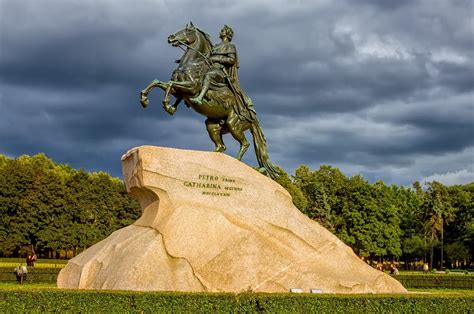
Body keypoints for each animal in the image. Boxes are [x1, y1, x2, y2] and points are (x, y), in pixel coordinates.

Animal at [138, 22, 278, 179]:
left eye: (188, 30)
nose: (171, 37)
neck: (191, 64)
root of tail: (253, 116)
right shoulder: (179, 90)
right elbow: (157, 82)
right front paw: (144, 100)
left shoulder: (191, 88)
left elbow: (169, 84)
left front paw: (167, 105)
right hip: (213, 125)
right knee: (221, 146)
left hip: (233, 124)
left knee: (245, 144)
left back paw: (237, 163)